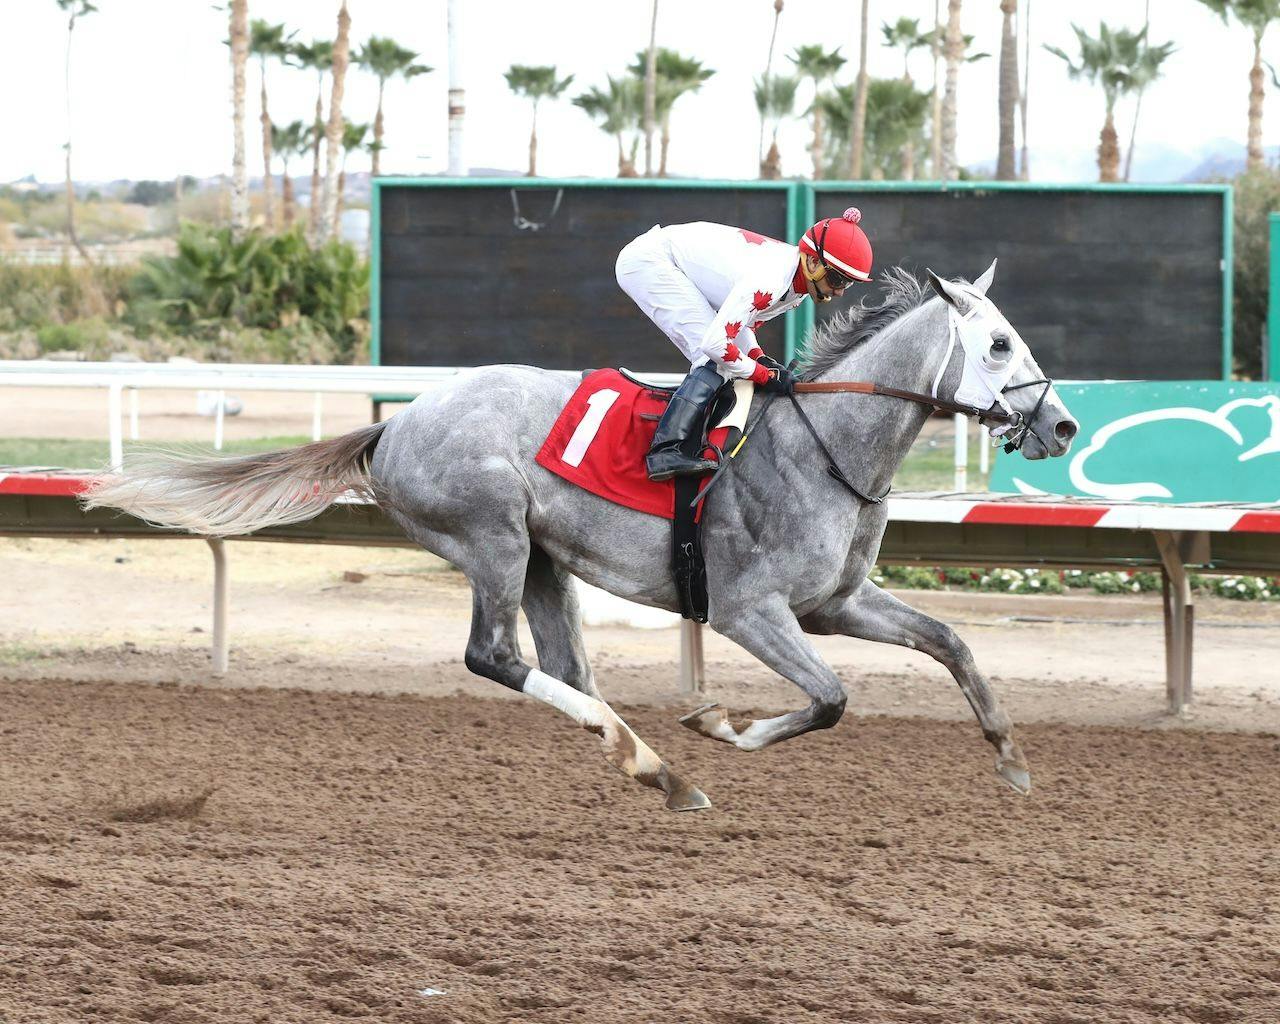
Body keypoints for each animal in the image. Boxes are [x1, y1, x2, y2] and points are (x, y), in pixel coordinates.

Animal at [85, 263, 1075, 814]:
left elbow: (950, 641)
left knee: (567, 670)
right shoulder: (749, 610)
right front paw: (720, 722)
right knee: (494, 656)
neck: (822, 444)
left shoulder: (838, 602)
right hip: (492, 536)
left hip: (544, 561)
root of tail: (395, 424)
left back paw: (654, 768)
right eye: (997, 344)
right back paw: (664, 766)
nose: (1062, 426)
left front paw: (1014, 761)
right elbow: (830, 699)